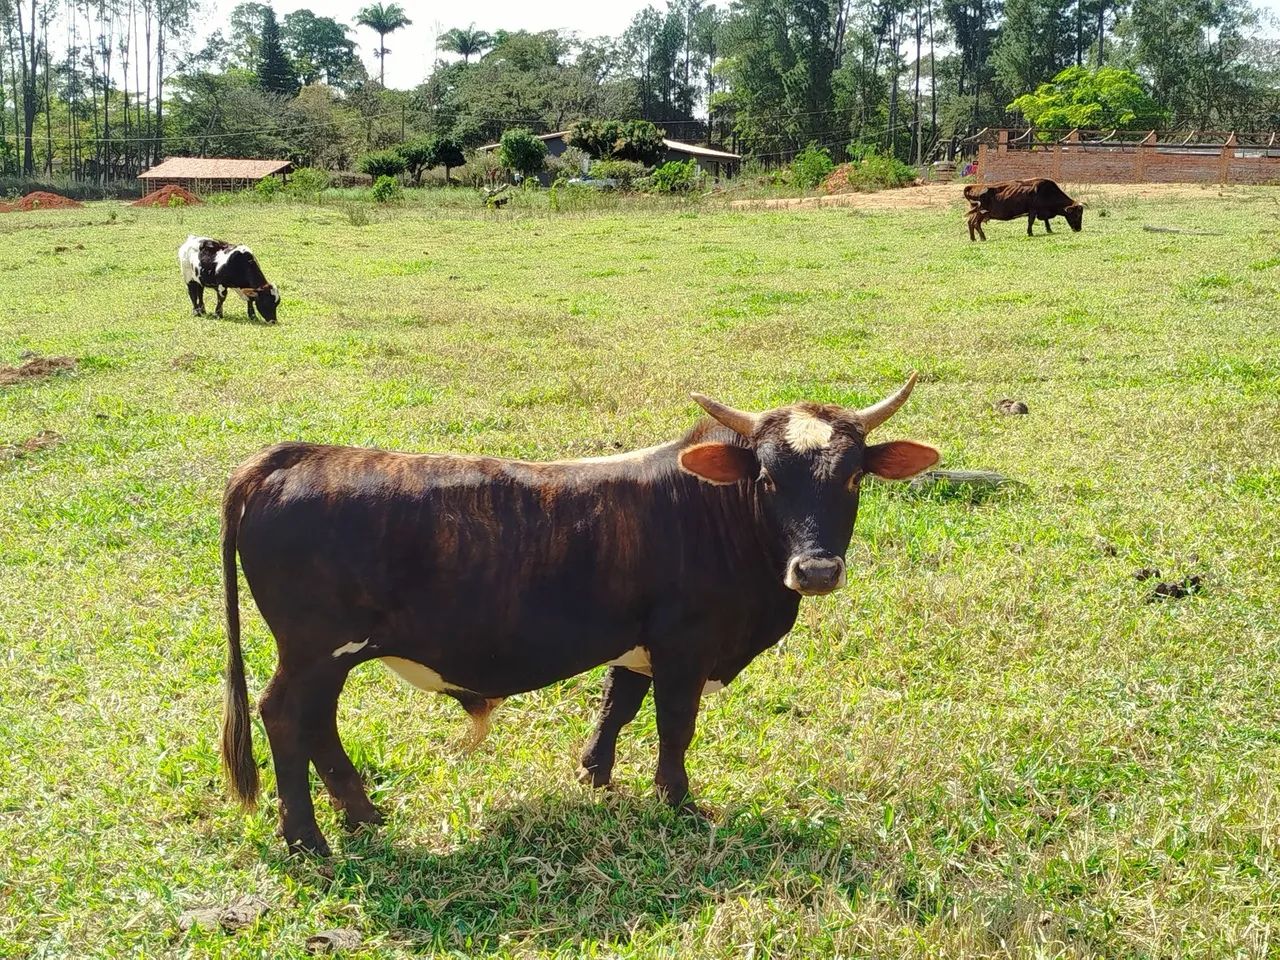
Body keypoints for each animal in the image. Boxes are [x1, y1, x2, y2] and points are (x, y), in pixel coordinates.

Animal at [219, 376, 940, 855]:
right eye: (766, 478)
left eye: (853, 477)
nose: (816, 570)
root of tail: (292, 457)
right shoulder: (685, 646)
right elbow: (674, 727)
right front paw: (678, 802)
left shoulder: (640, 643)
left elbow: (617, 707)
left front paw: (596, 774)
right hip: (316, 650)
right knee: (285, 717)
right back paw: (308, 838)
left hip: (329, 656)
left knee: (317, 725)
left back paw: (361, 814)